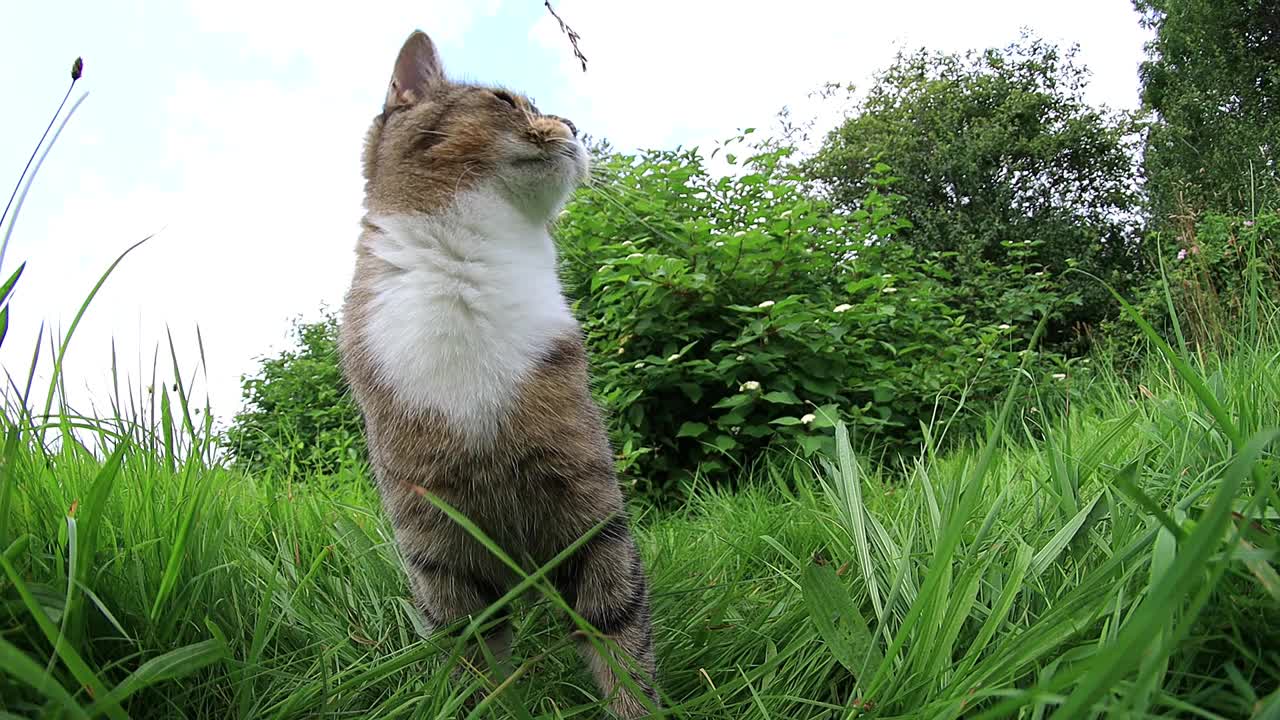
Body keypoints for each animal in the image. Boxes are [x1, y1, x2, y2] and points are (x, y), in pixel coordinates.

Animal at [340, 30, 660, 712]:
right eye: (505, 101)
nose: (572, 124)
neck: (470, 275)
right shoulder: (434, 532)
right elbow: (469, 650)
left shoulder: (585, 496)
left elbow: (618, 625)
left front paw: (635, 706)